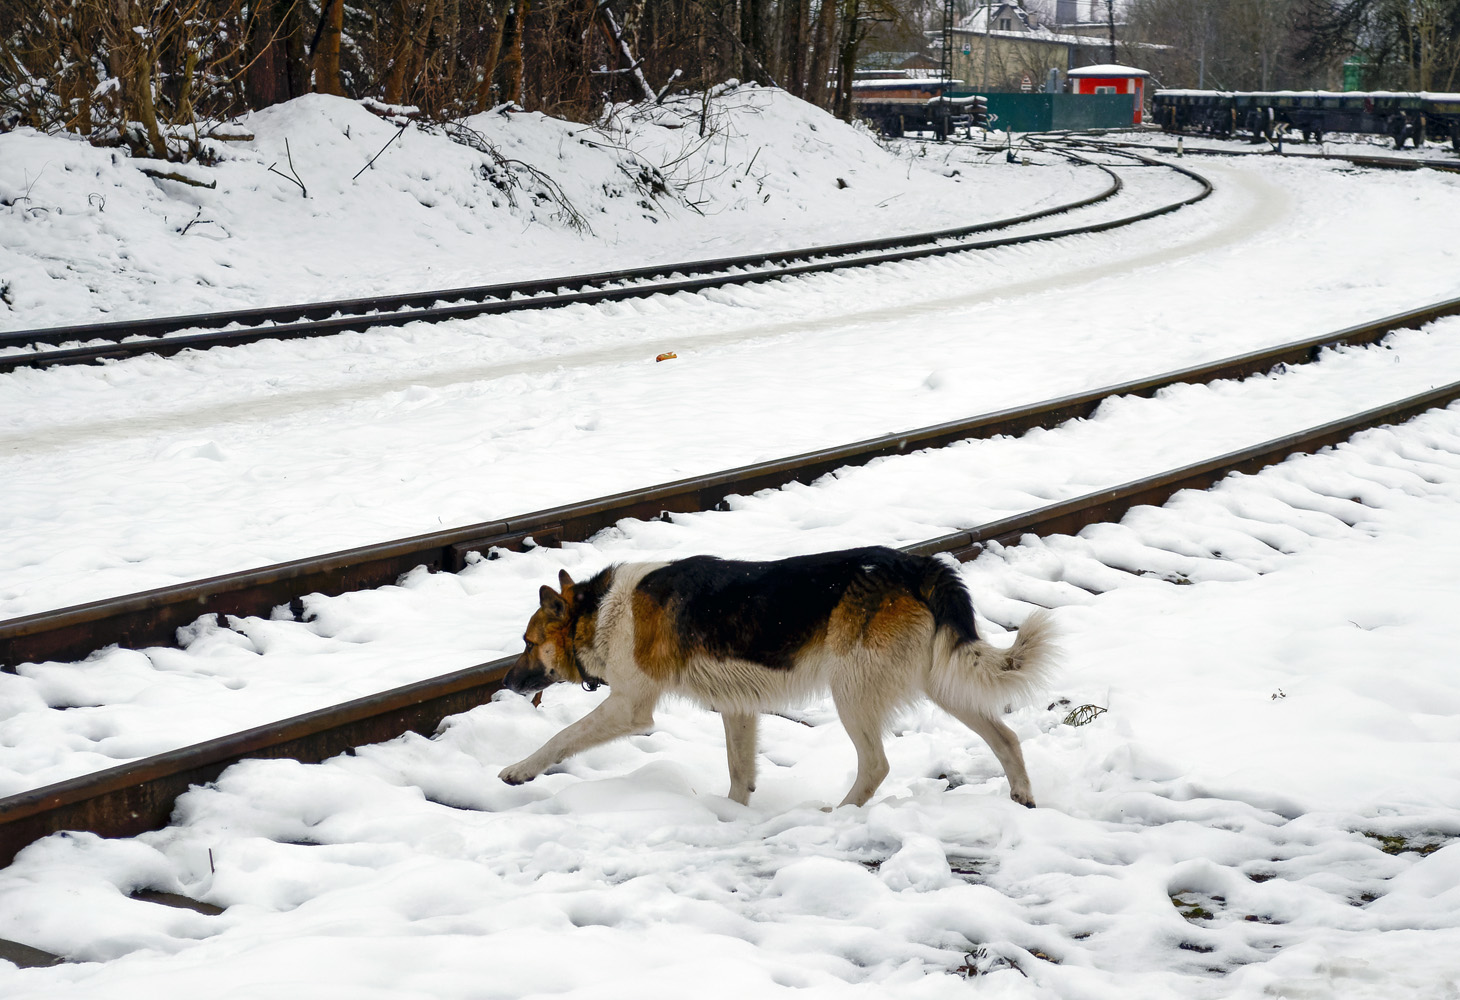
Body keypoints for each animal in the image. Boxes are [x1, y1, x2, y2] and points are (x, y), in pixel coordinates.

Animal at [496, 543, 1057, 805]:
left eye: (526, 643)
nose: (505, 683)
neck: (601, 610)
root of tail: (917, 566)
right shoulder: (738, 710)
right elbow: (740, 775)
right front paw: (732, 818)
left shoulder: (629, 707)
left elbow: (561, 738)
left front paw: (519, 770)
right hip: (942, 684)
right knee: (1006, 738)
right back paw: (1023, 798)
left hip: (851, 692)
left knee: (876, 766)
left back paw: (838, 816)